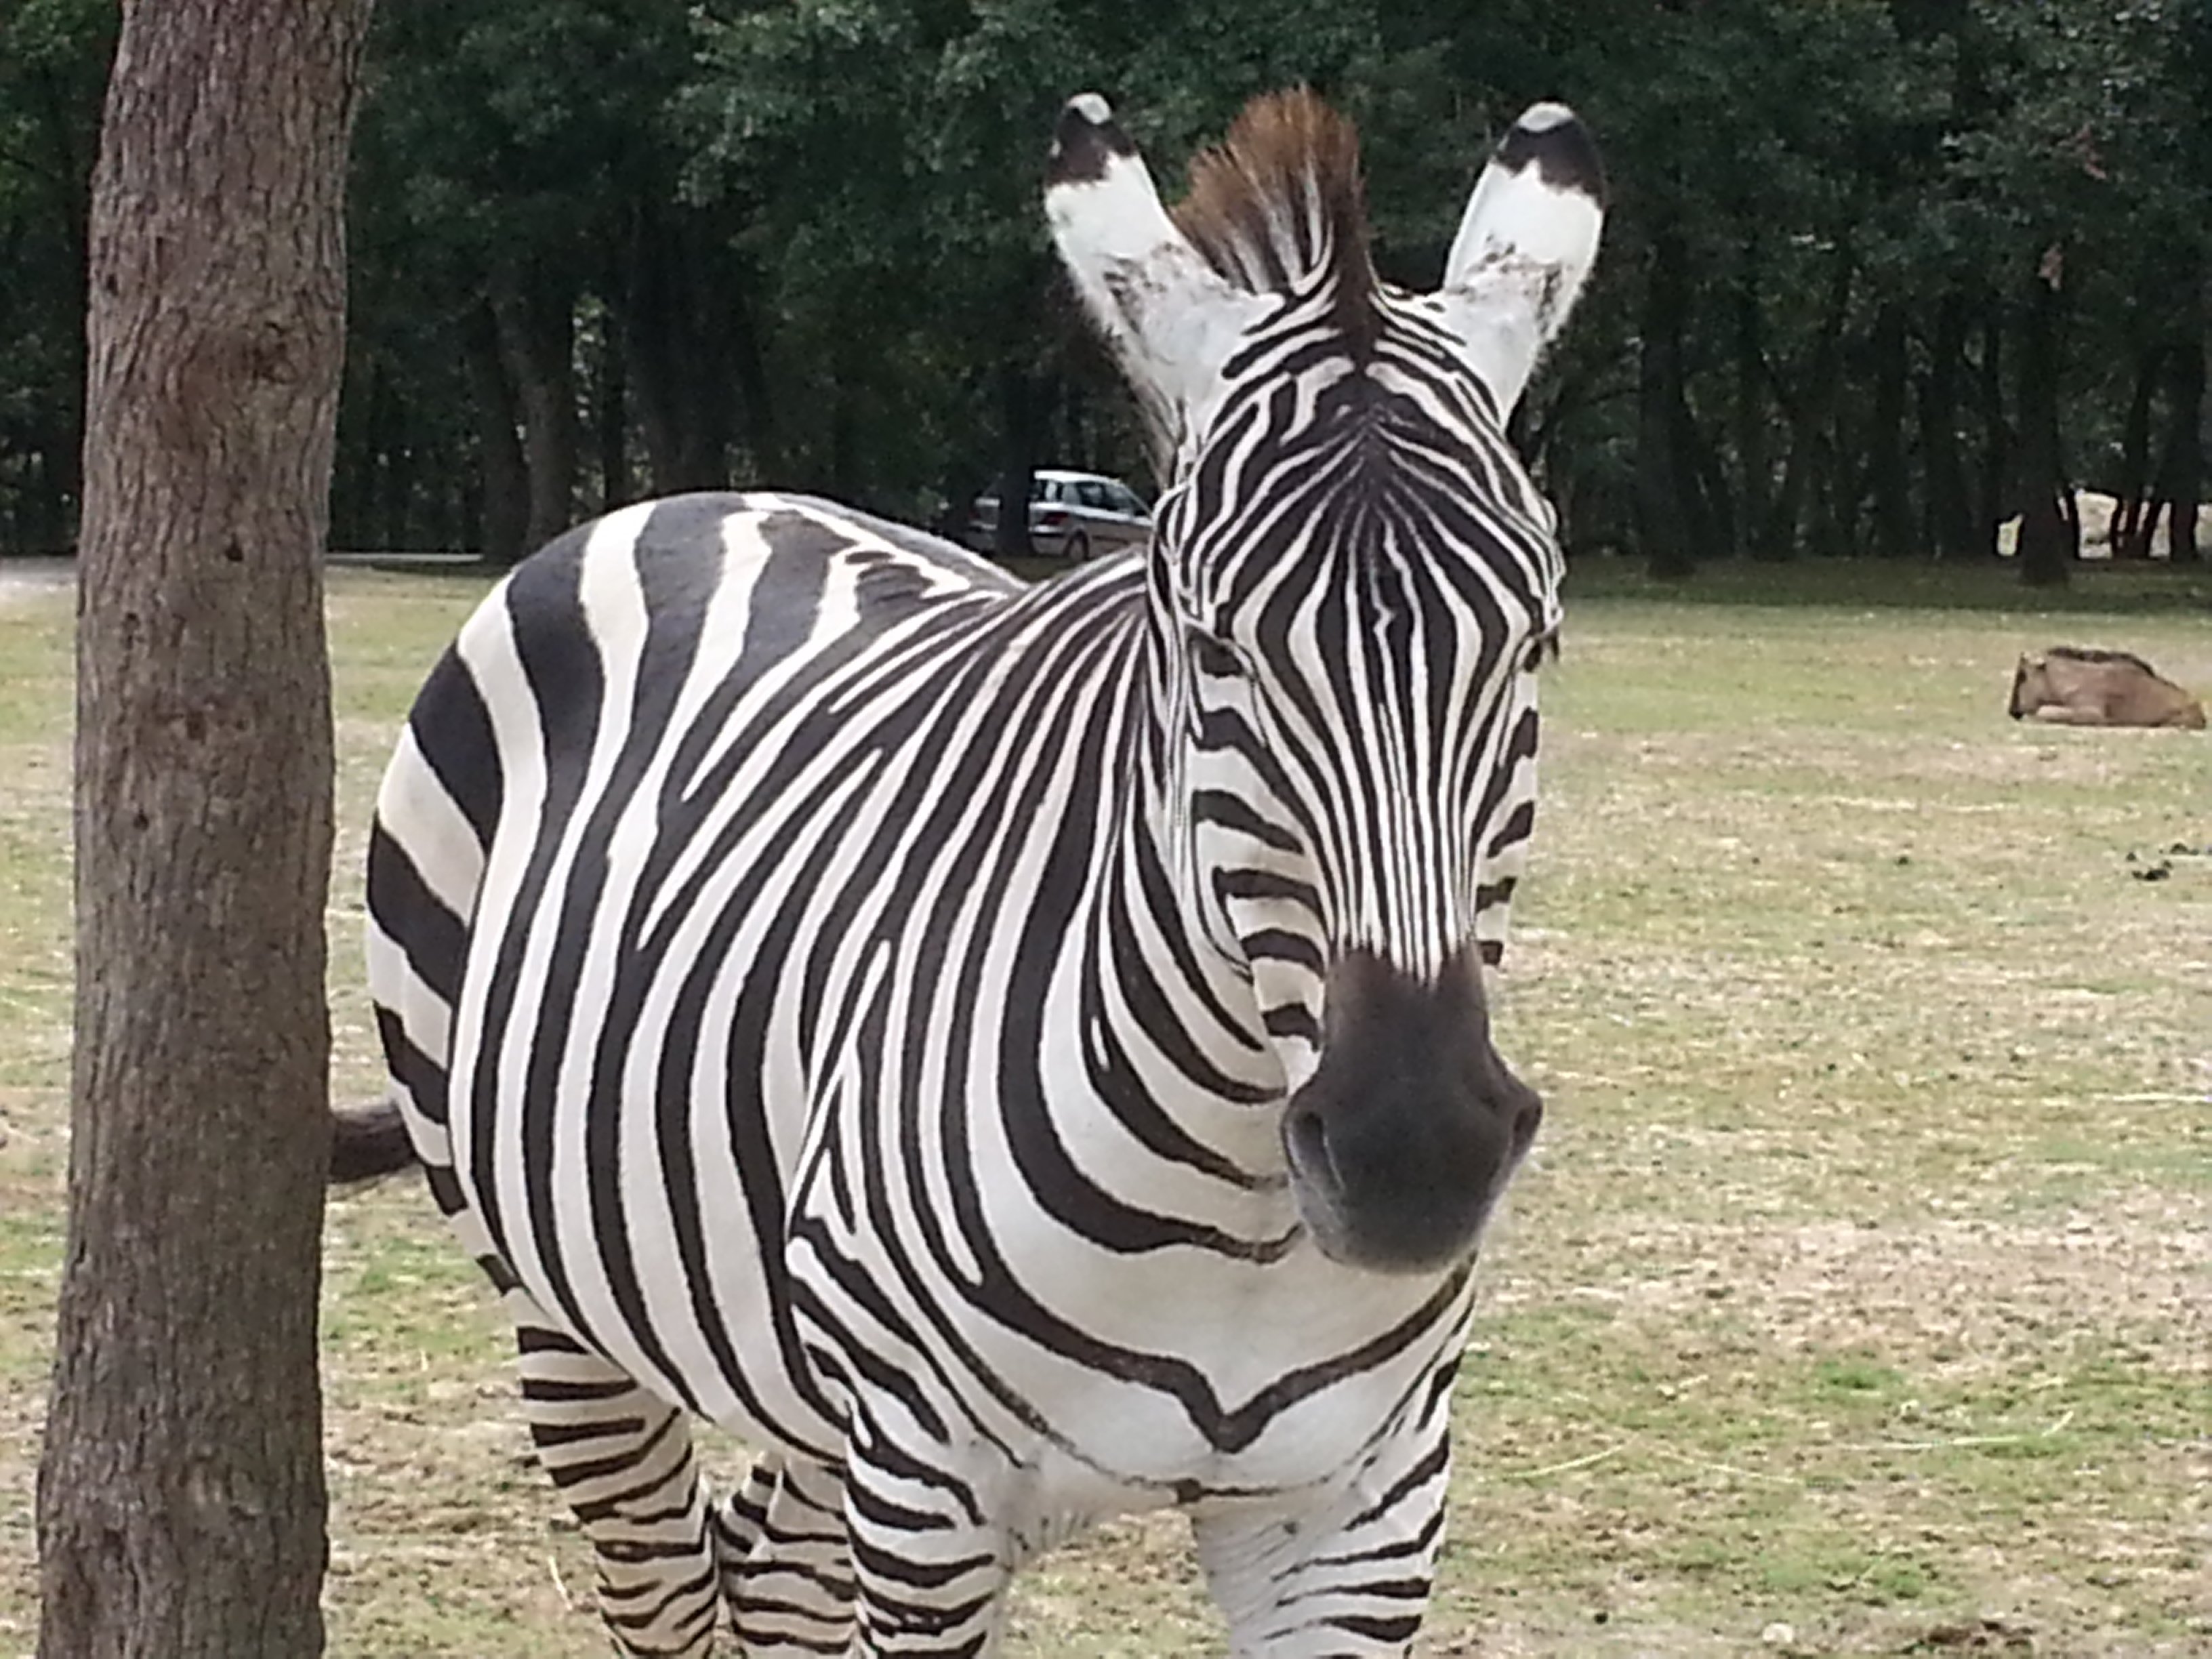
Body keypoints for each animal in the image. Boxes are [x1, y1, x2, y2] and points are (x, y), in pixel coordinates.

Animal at [331, 84, 1610, 1654]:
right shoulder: (930, 1499)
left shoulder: (1360, 1510)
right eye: (1210, 643)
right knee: (670, 1584)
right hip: (561, 1306)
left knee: (769, 1573)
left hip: (809, 1385)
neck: (1243, 1207)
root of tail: (702, 497)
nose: (1412, 1154)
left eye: (1535, 641)